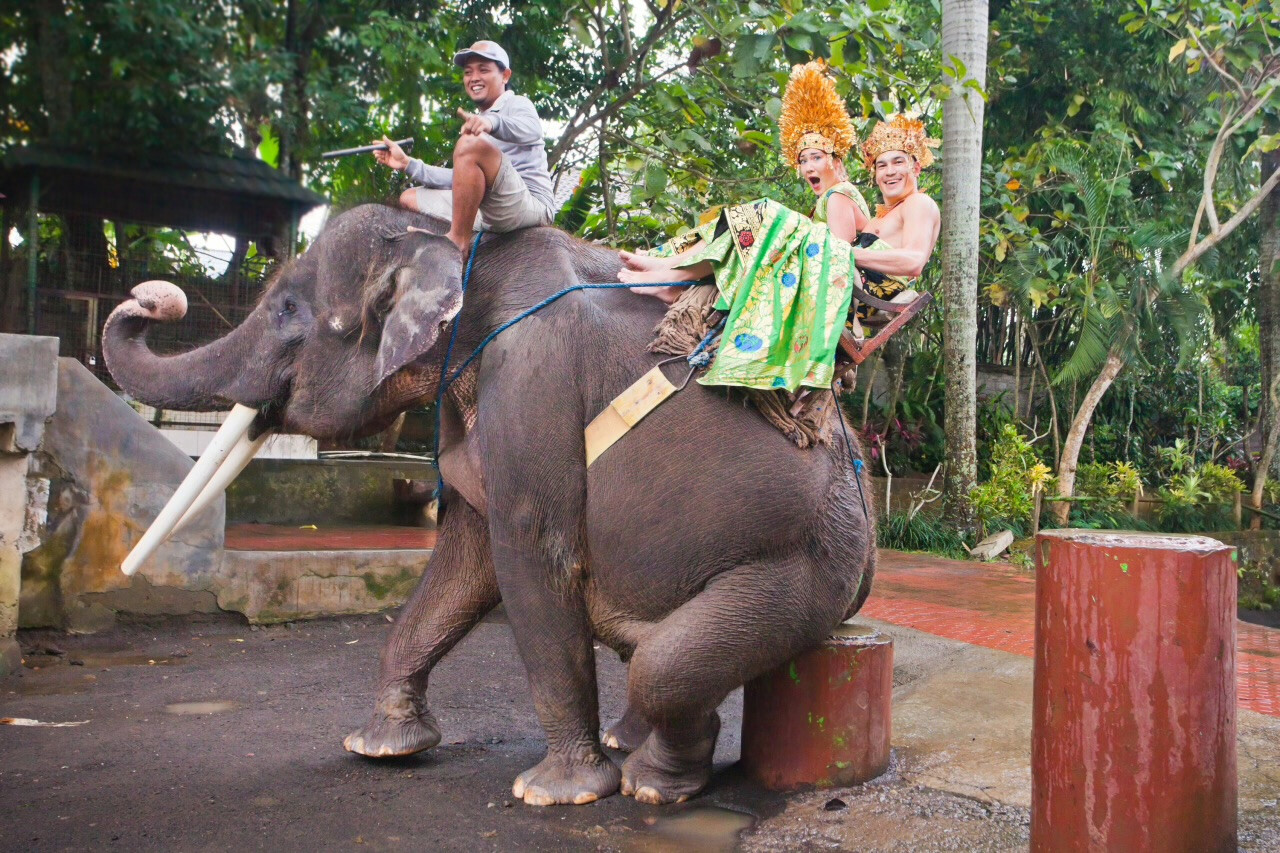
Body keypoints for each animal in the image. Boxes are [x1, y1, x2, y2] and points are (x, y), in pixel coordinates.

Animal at [103, 204, 877, 806]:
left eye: (288, 310)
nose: (151, 297)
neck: (458, 246)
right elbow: (464, 560)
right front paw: (380, 747)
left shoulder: (532, 380)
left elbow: (528, 552)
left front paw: (554, 793)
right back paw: (631, 747)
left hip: (809, 561)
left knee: (665, 662)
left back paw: (652, 783)